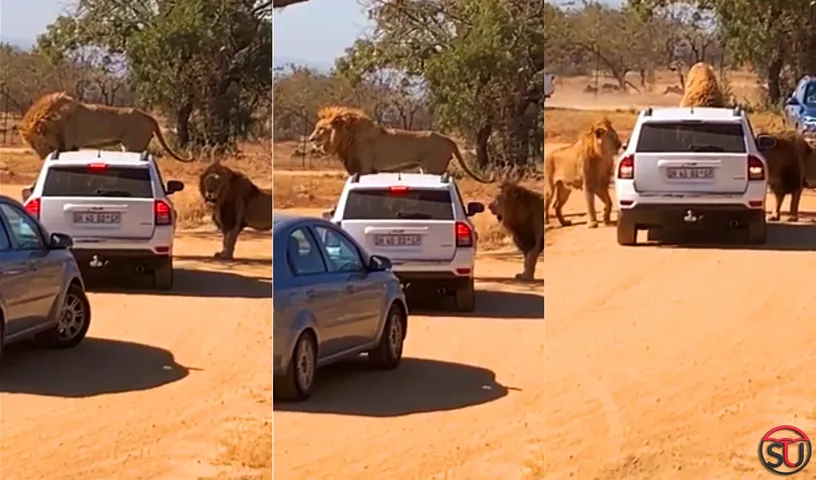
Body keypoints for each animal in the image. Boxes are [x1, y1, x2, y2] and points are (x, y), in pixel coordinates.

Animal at [19, 92, 193, 162]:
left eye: (40, 143)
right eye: (32, 145)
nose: (42, 157)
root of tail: (148, 116)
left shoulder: (67, 143)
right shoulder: (73, 146)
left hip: (133, 145)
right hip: (126, 146)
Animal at [307, 106, 494, 183]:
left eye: (321, 129)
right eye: (316, 128)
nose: (310, 139)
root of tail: (449, 139)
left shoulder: (365, 167)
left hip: (432, 167)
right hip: (425, 168)